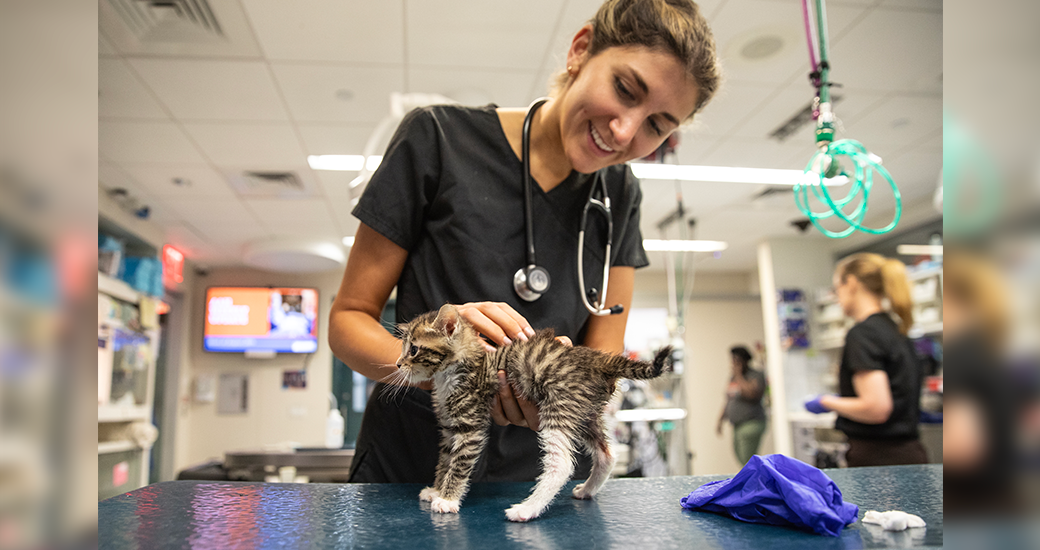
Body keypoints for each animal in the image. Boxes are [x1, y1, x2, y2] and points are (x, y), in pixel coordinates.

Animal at [391, 301, 673, 521]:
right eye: (403, 348)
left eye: (413, 349)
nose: (398, 364)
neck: (455, 370)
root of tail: (597, 359)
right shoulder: (450, 427)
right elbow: (445, 460)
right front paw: (436, 490)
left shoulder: (471, 425)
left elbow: (459, 464)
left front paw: (447, 499)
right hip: (584, 412)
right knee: (607, 454)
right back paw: (587, 489)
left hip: (559, 406)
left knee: (561, 464)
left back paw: (526, 509)